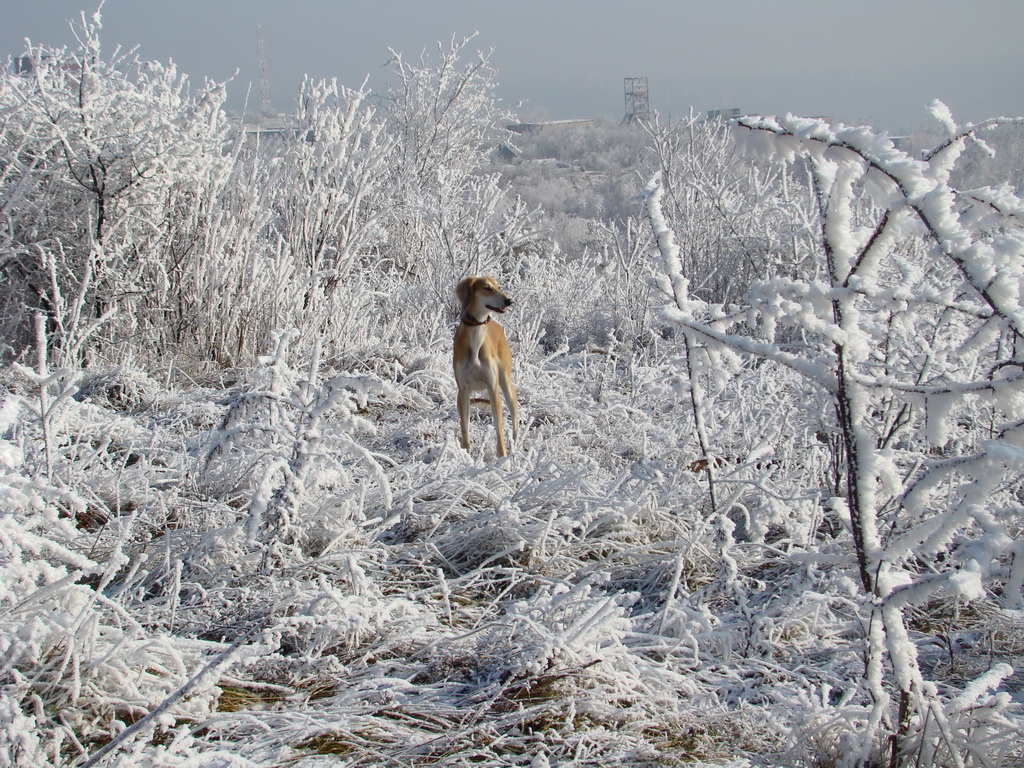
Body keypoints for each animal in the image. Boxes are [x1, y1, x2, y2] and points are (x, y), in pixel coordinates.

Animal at [454, 276, 520, 456]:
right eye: (487, 288)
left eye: (499, 287)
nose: (509, 301)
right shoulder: (463, 391)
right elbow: (464, 426)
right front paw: (466, 452)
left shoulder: (492, 388)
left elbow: (499, 429)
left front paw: (502, 456)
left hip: (506, 383)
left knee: (514, 413)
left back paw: (516, 443)